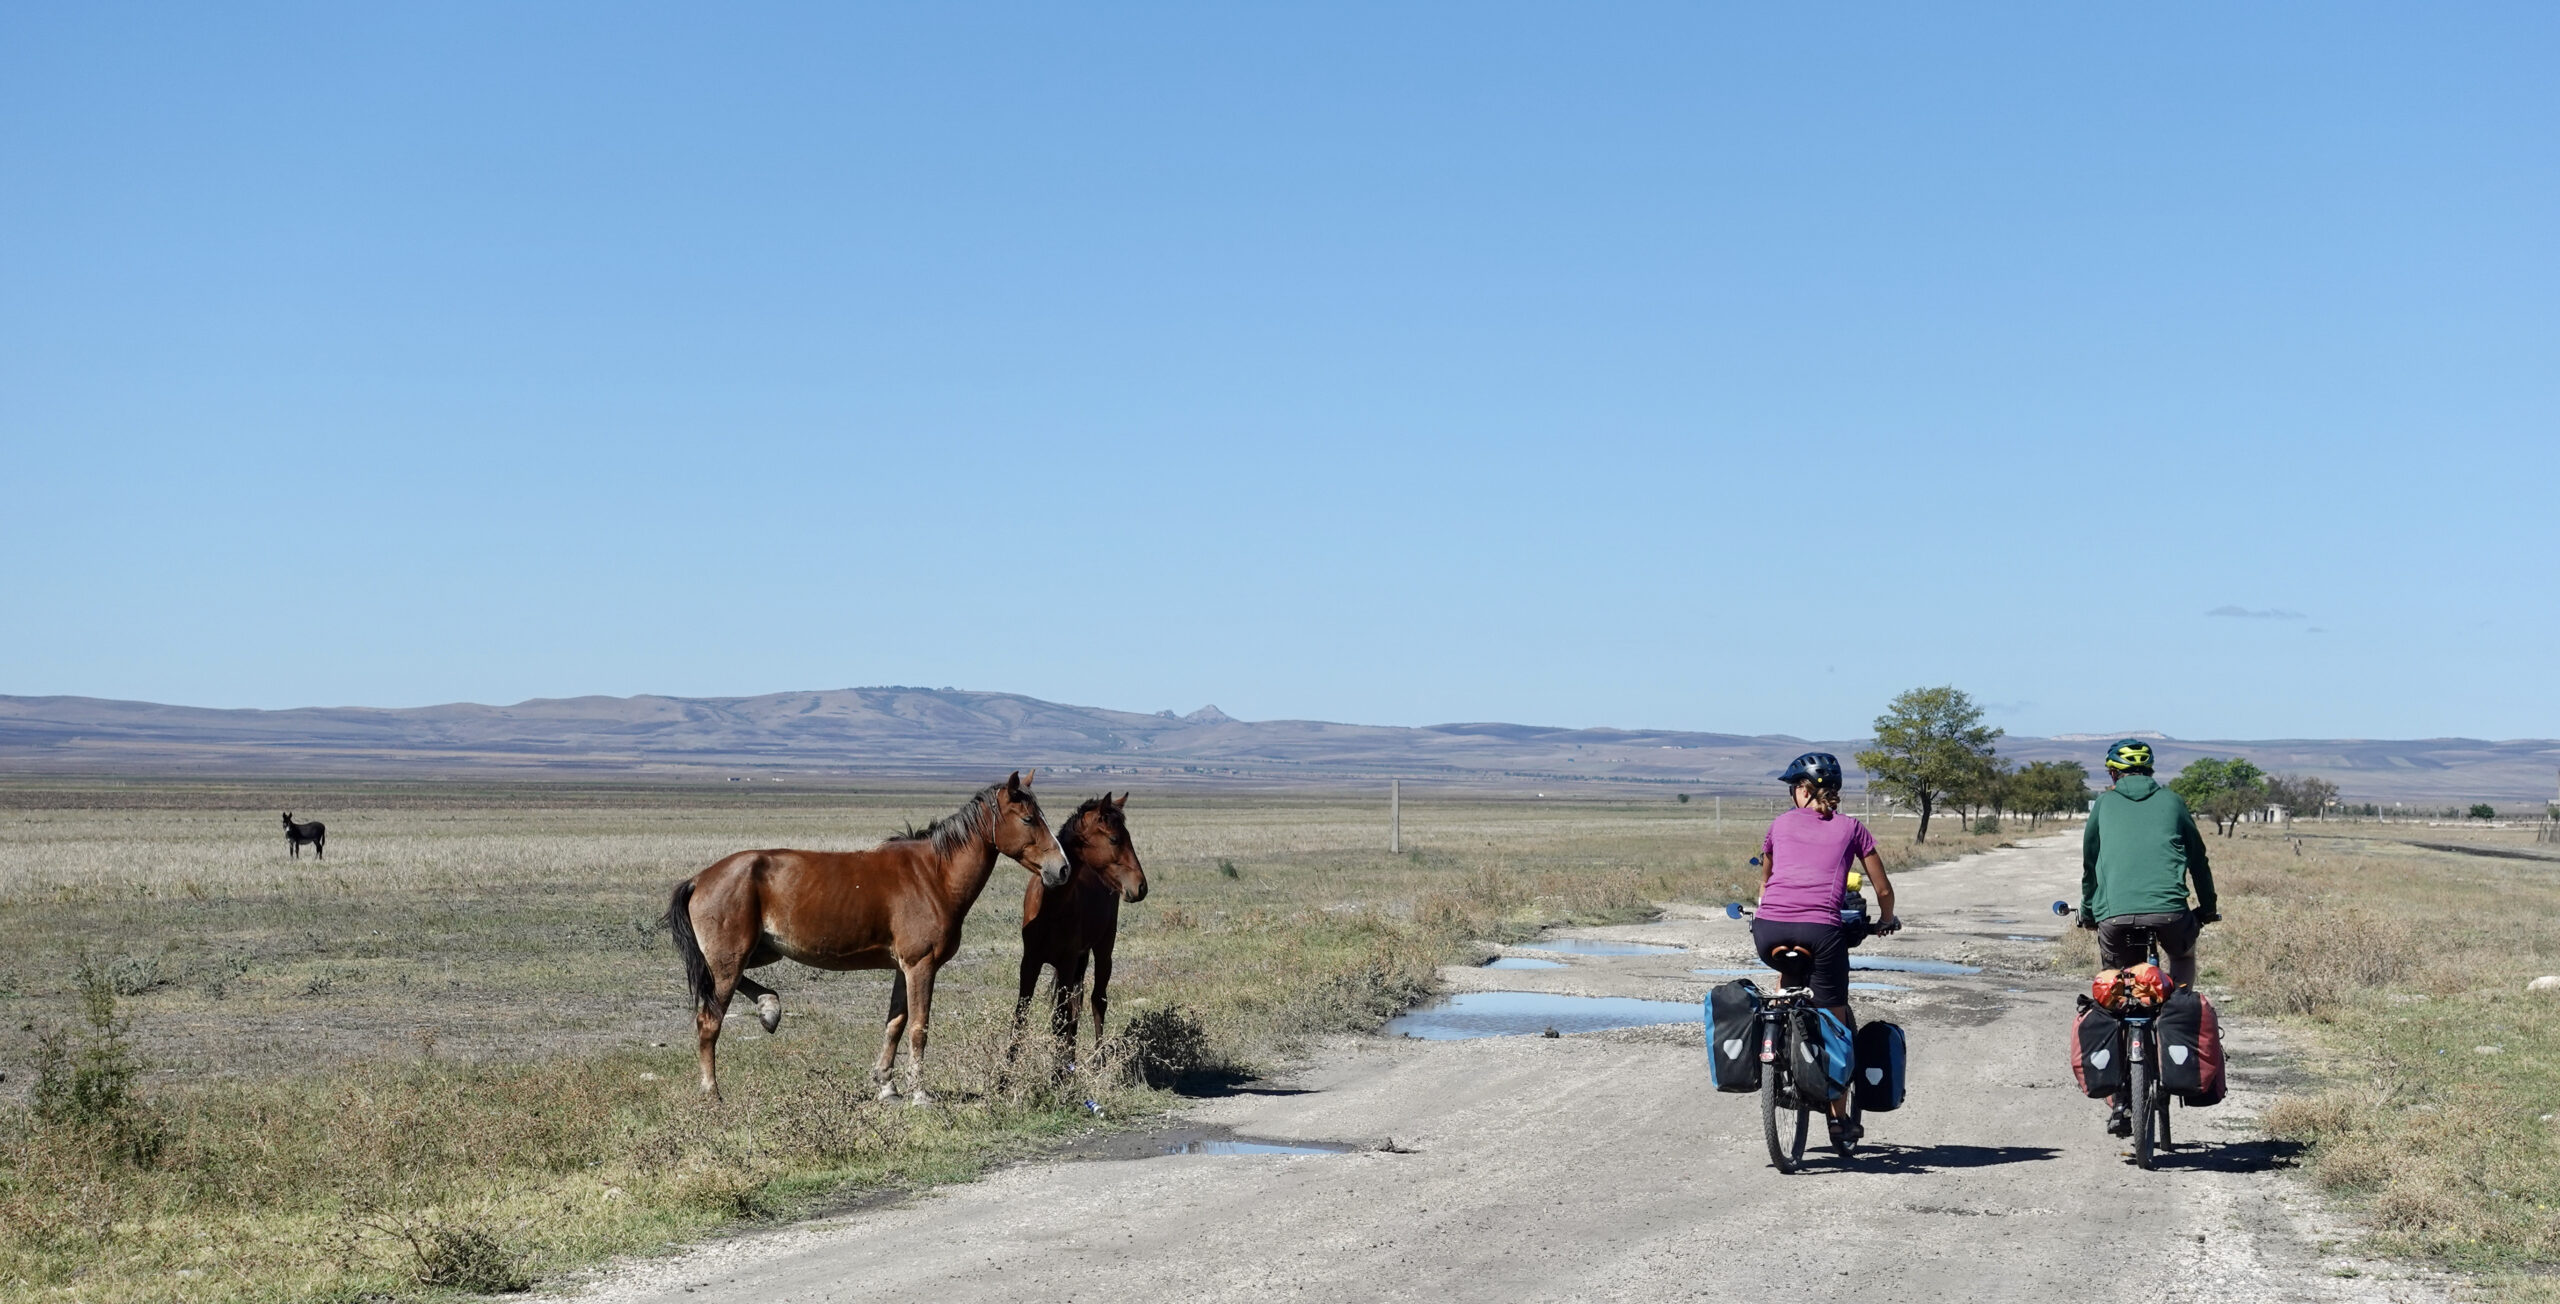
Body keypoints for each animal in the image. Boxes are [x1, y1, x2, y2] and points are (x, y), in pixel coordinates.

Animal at [670, 773, 1070, 1096]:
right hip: (730, 959)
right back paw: (712, 1093)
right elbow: (919, 1028)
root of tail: (700, 879)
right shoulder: (921, 965)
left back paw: (770, 1008)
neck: (933, 876)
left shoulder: (904, 968)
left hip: (755, 953)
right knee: (709, 1022)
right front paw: (919, 1093)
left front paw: (887, 1085)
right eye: (1028, 818)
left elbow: (895, 1023)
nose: (1062, 869)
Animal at [1013, 794, 1146, 1055]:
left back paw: (1097, 1058)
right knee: (1076, 1010)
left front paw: (1059, 1066)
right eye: (1115, 839)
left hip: (1103, 950)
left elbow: (1060, 1021)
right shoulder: (1030, 961)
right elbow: (1021, 1017)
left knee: (1097, 1001)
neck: (1051, 908)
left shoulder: (1066, 963)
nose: (1141, 886)